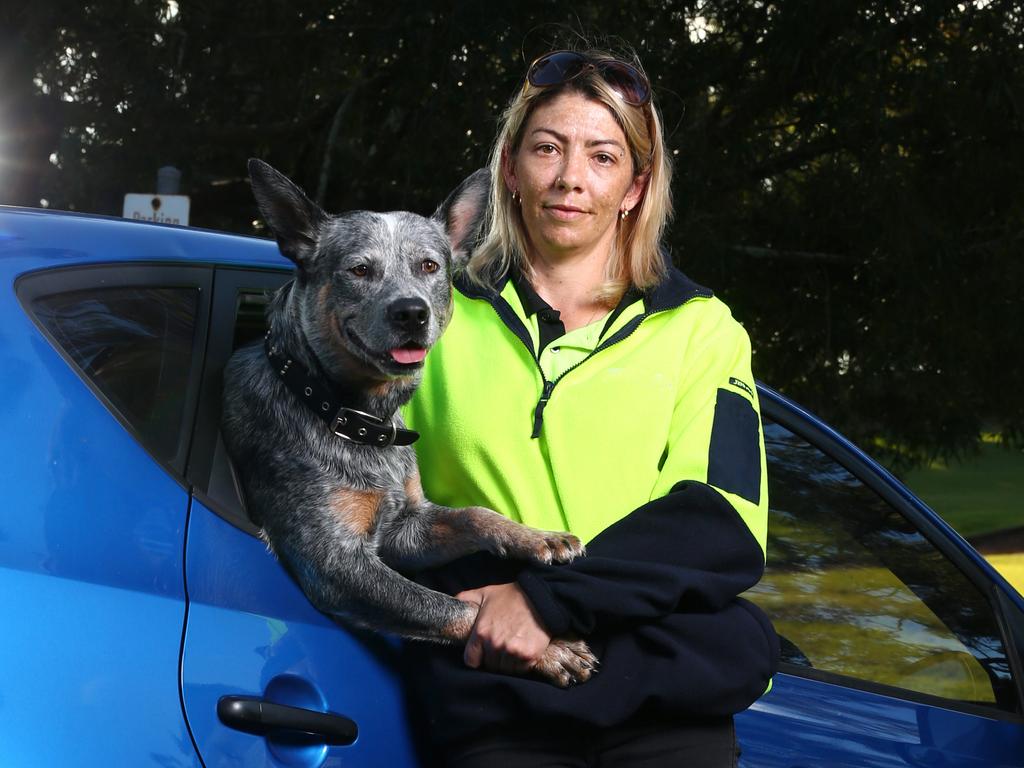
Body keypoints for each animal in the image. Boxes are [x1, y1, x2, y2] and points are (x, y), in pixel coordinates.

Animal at [220, 159, 598, 688]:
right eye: (360, 269)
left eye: (429, 266)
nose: (411, 312)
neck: (349, 415)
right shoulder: (333, 563)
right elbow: (447, 607)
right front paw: (551, 650)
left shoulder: (406, 532)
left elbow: (476, 515)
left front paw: (538, 537)